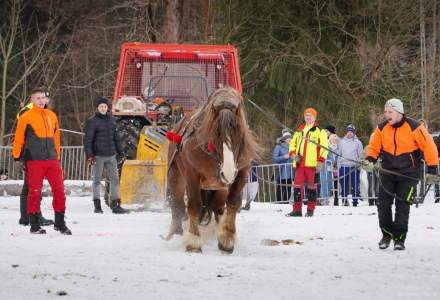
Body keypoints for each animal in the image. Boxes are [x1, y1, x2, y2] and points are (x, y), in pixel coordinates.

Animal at [165, 86, 258, 253]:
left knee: (218, 207)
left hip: (219, 188)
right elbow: (194, 205)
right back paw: (175, 233)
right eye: (215, 135)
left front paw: (227, 238)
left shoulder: (241, 173)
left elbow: (233, 202)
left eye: (239, 135)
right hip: (177, 177)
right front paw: (193, 241)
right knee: (178, 205)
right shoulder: (192, 174)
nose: (228, 172)